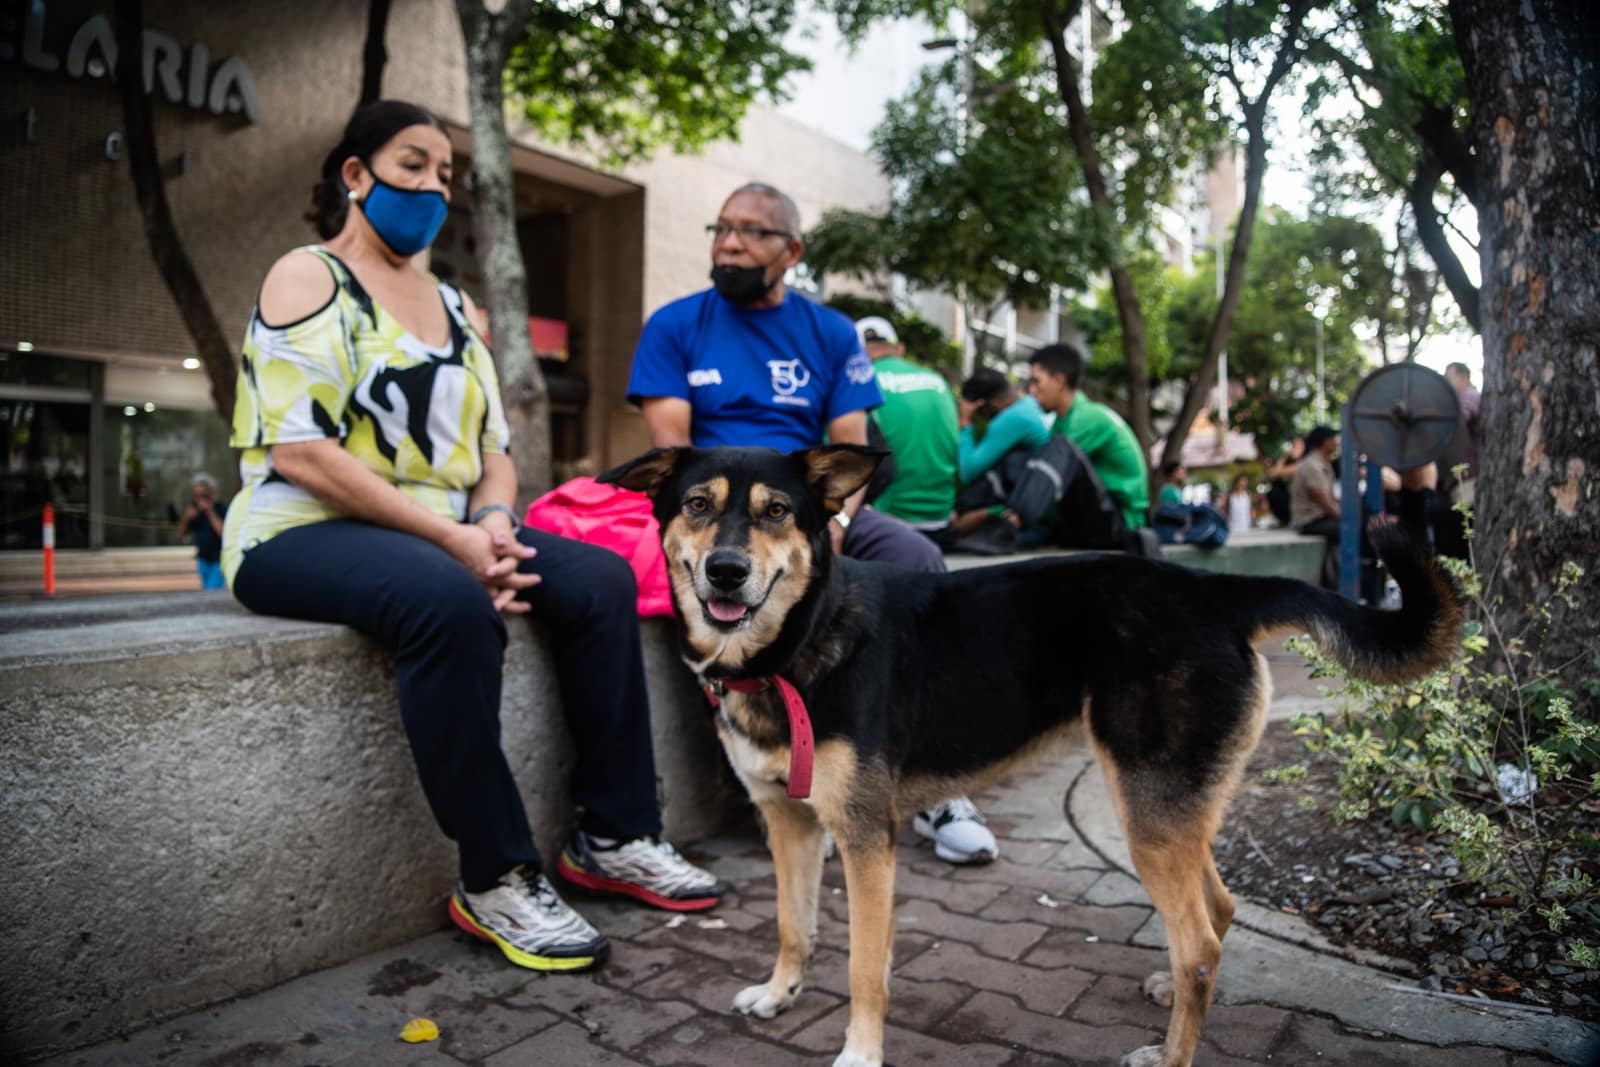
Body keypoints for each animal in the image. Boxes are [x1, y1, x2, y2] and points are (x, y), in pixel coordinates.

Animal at [601, 444, 1465, 1067]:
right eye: (698, 506)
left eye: (777, 511)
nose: (727, 570)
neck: (797, 640)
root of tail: (1214, 589)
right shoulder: (790, 821)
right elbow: (792, 924)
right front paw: (779, 993)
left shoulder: (867, 838)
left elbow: (864, 967)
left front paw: (859, 1052)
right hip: (1172, 805)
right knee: (1216, 913)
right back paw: (1169, 993)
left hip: (1147, 807)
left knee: (1203, 942)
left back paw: (1170, 1053)